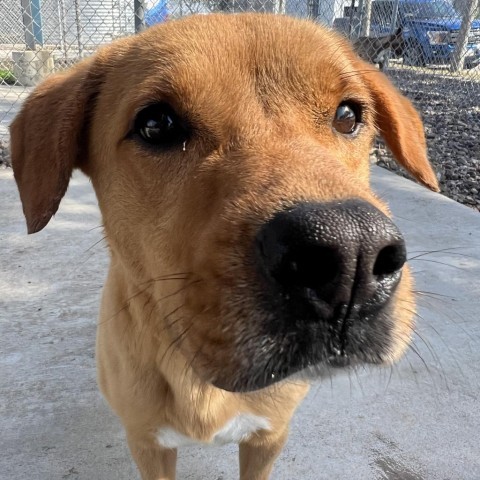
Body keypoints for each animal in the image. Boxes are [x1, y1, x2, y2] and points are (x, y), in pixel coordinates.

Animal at [10, 13, 438, 480]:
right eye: (156, 125)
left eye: (347, 115)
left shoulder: (268, 437)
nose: (351, 254)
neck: (198, 379)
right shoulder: (148, 443)